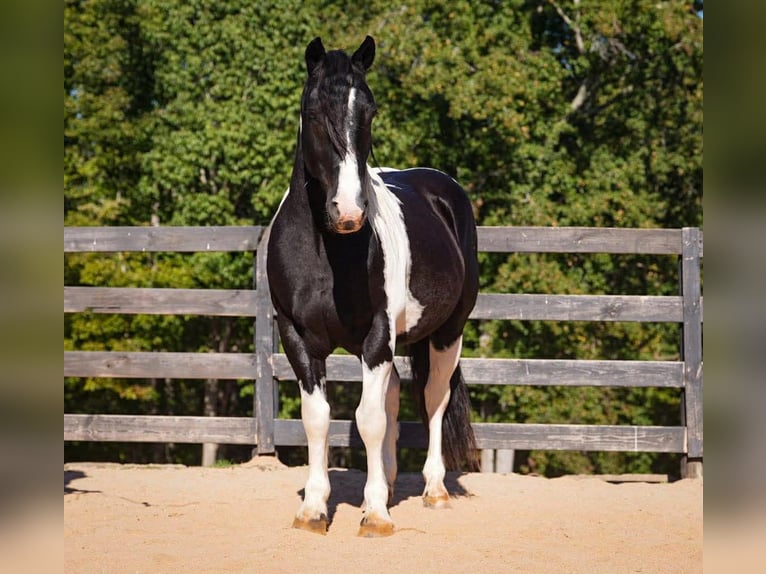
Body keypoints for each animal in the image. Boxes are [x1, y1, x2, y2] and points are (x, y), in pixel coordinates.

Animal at [266, 35, 479, 537]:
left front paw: (377, 514)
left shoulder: (377, 335)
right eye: (312, 110)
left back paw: (433, 490)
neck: (326, 254)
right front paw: (314, 510)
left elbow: (369, 419)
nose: (348, 211)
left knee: (433, 399)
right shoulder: (296, 337)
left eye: (370, 110)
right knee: (396, 395)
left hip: (448, 333)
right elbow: (319, 418)